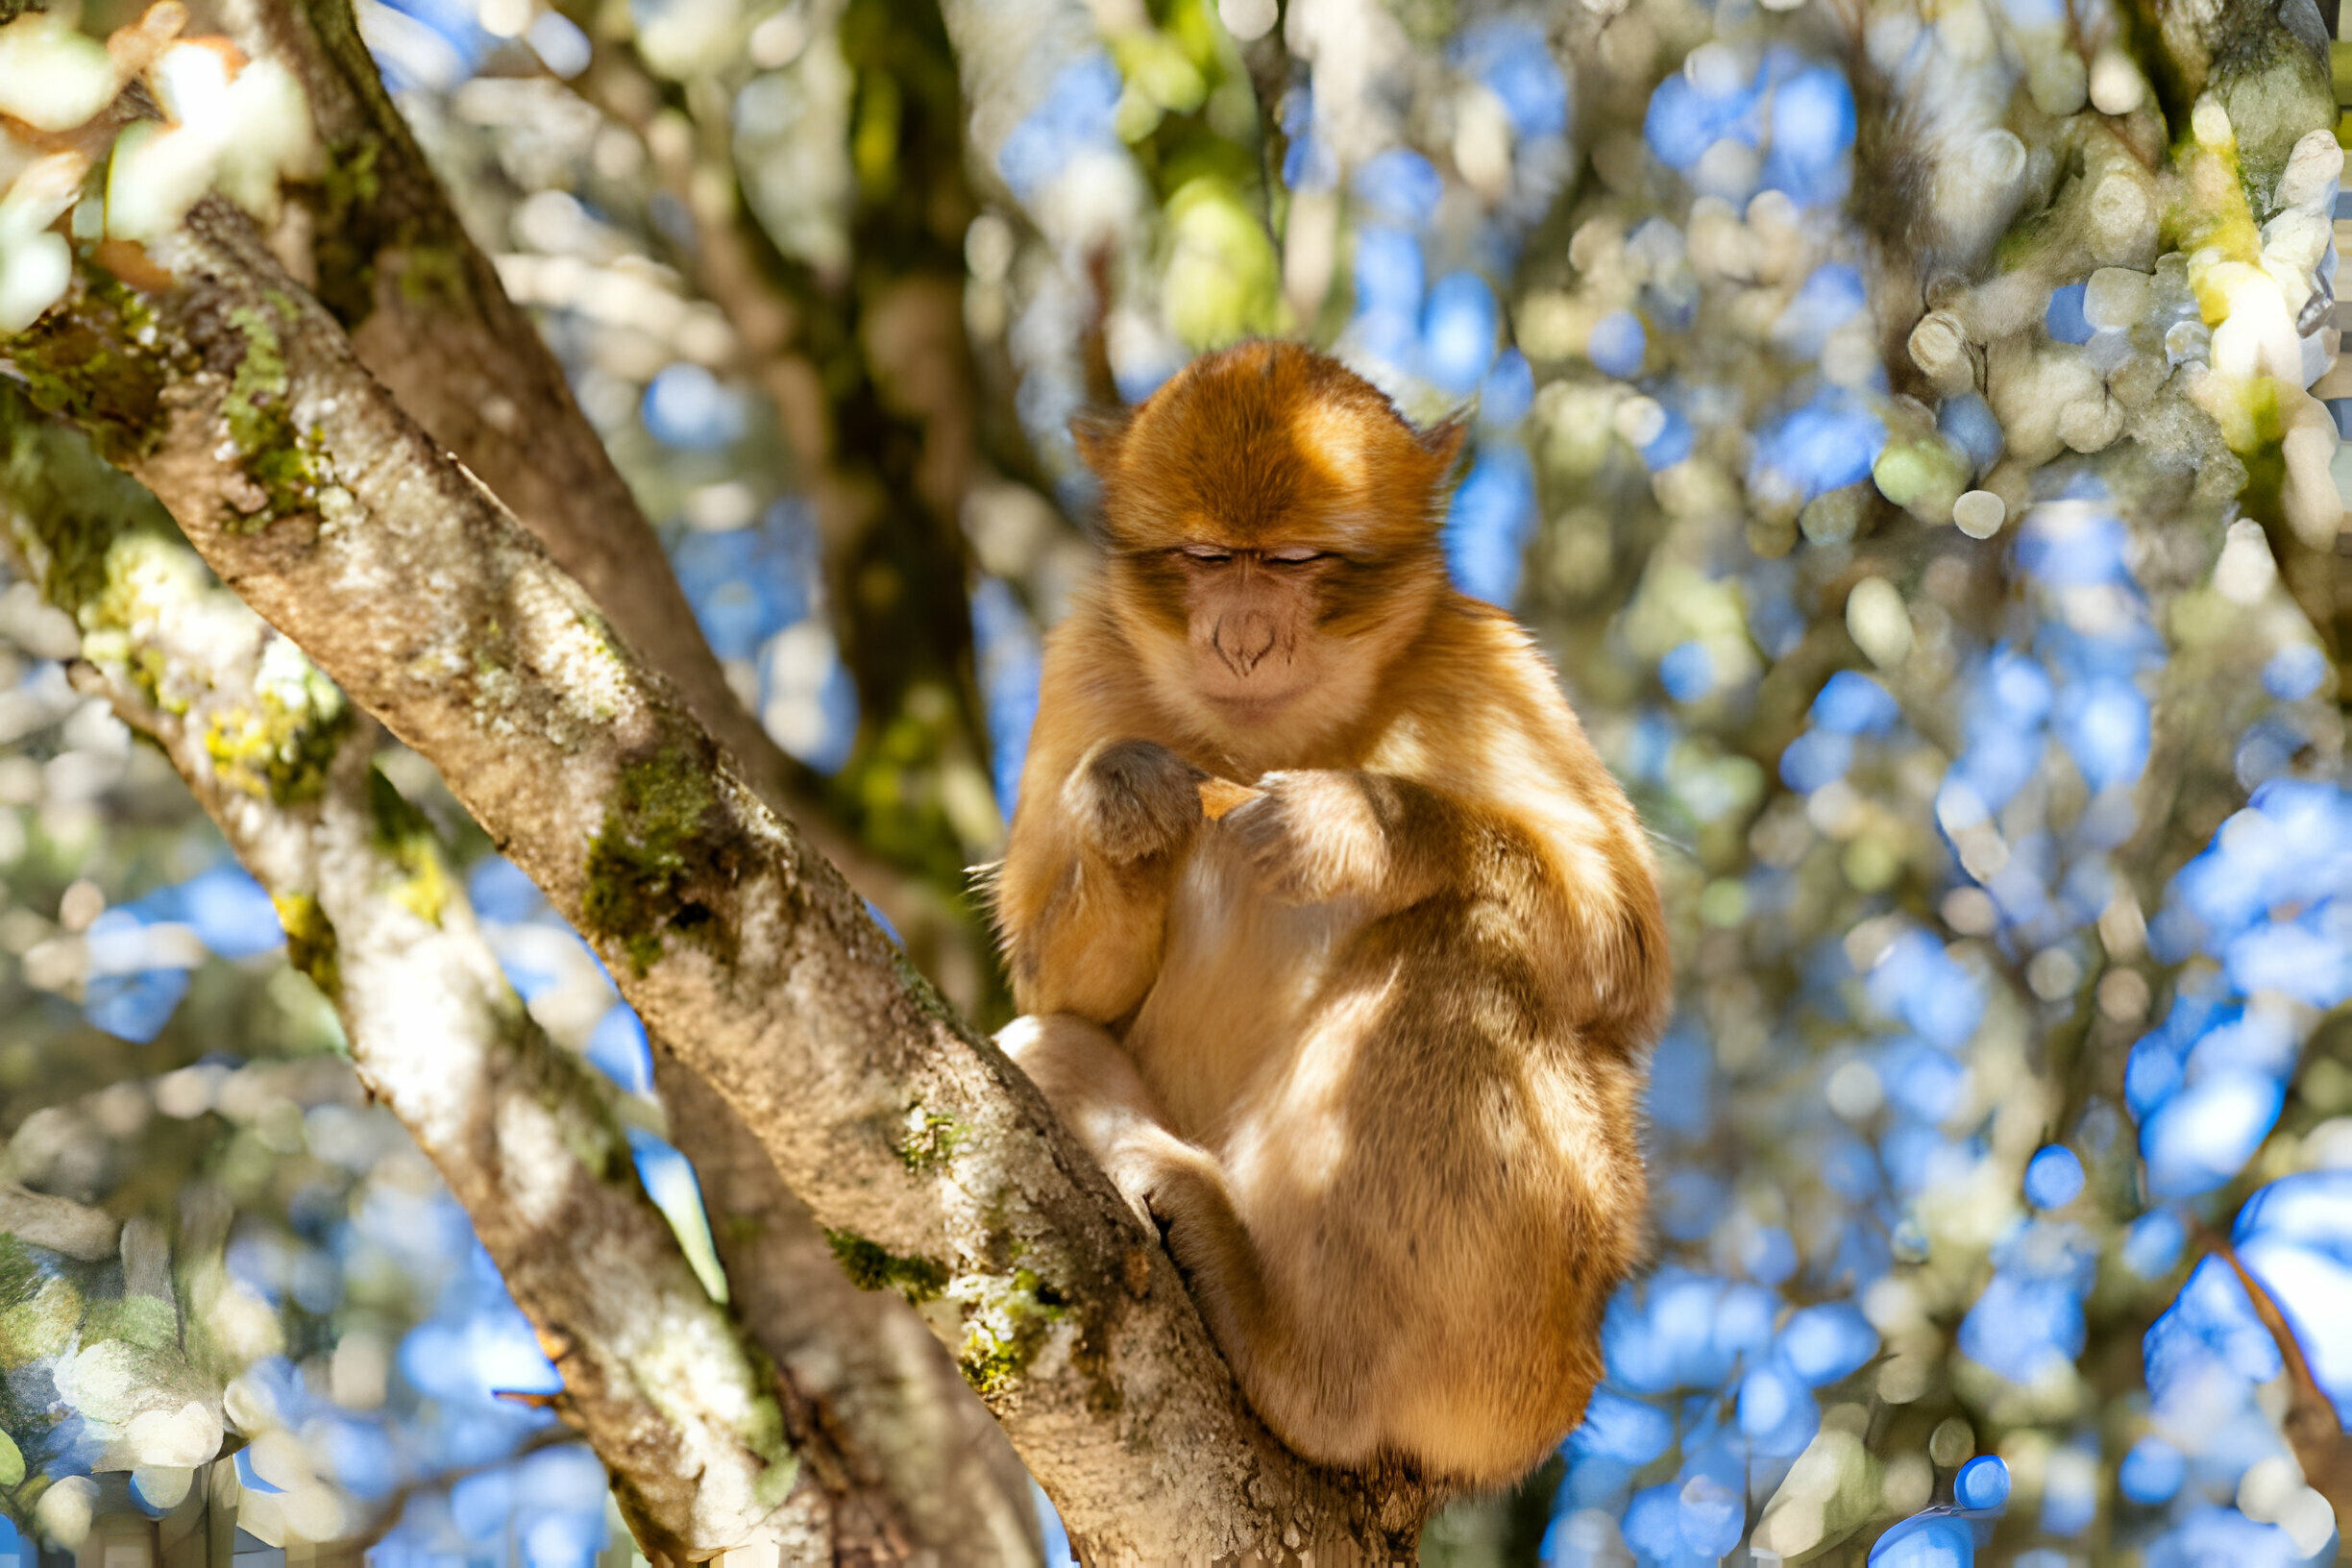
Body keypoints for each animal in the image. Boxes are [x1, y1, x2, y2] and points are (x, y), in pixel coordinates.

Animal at [992, 338, 1674, 1495]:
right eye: (1206, 556)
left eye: (1297, 561)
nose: (1244, 640)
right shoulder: (1083, 657)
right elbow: (1059, 985)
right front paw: (1128, 806)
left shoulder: (1486, 658)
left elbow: (1625, 946)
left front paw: (1357, 822)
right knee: (1037, 1039)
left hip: (1531, 1344)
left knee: (1467, 942)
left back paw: (1303, 1366)